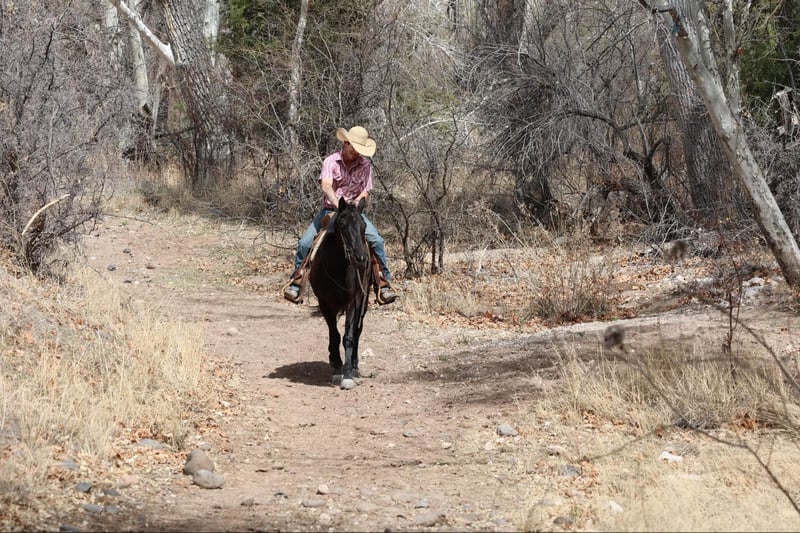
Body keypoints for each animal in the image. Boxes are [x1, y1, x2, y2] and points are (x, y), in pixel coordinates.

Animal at [309, 197, 372, 390]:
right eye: (343, 225)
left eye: (363, 226)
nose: (361, 258)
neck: (337, 266)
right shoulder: (325, 302)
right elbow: (334, 334)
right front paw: (336, 365)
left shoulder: (353, 300)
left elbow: (349, 336)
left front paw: (348, 373)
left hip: (364, 300)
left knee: (358, 330)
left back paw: (355, 366)